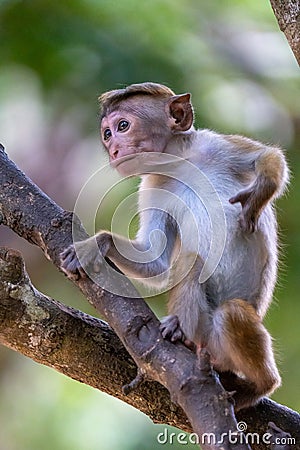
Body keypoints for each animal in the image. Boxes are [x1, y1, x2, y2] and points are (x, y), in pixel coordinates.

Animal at [60, 81, 288, 412]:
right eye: (107, 134)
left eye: (122, 126)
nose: (114, 150)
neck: (178, 163)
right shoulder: (152, 187)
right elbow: (155, 259)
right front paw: (97, 243)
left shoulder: (213, 144)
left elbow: (268, 157)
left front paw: (258, 193)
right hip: (207, 337)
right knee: (190, 262)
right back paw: (182, 333)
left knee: (232, 313)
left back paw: (260, 385)